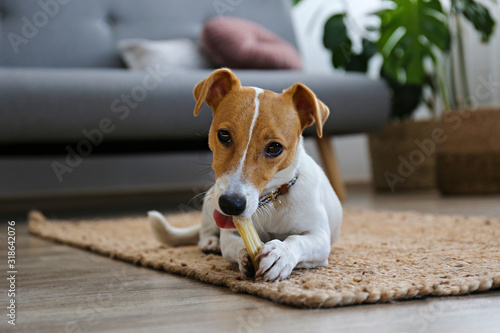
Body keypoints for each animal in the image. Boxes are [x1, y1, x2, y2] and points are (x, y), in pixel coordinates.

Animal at [148, 68, 342, 282]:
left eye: (274, 147)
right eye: (224, 134)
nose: (230, 204)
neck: (269, 200)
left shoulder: (320, 238)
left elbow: (297, 240)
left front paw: (280, 254)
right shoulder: (229, 233)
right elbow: (236, 244)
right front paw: (245, 256)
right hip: (210, 199)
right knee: (205, 231)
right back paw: (210, 242)